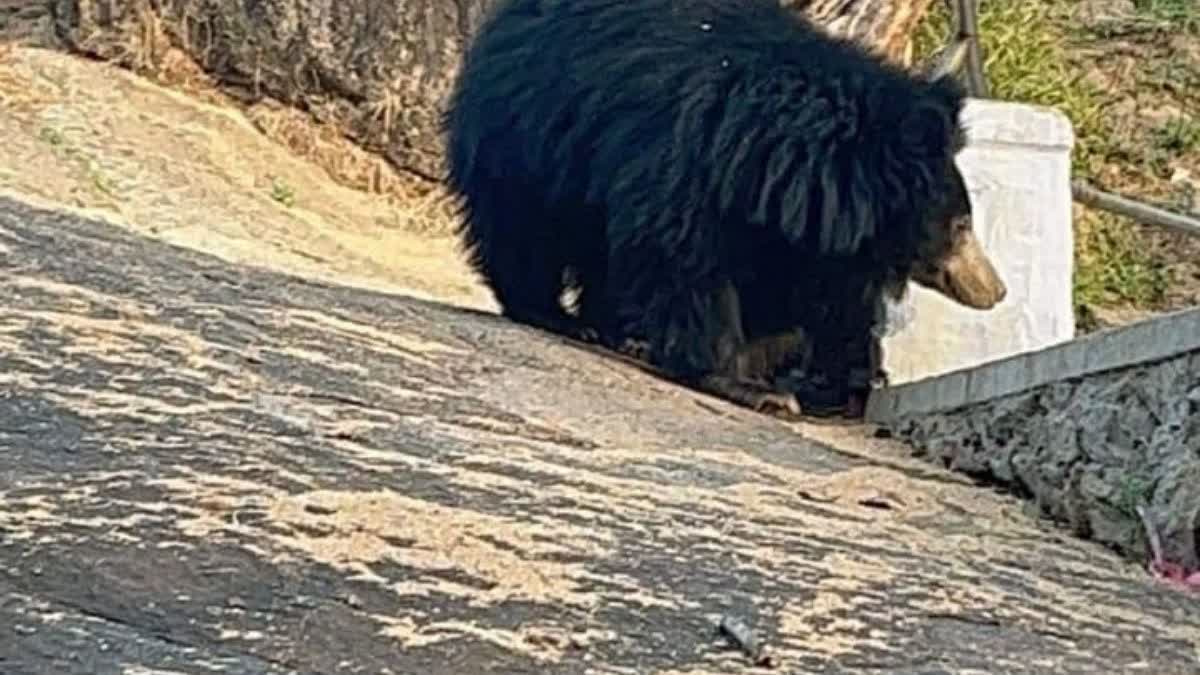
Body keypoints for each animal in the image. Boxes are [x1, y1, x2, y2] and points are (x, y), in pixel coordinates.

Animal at [441, 0, 1003, 413]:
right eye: (961, 226)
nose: (994, 291)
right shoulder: (686, 158)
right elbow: (685, 261)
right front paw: (753, 386)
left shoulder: (788, 219)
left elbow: (795, 289)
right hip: (530, 131)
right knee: (526, 228)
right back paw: (554, 314)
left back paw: (614, 330)